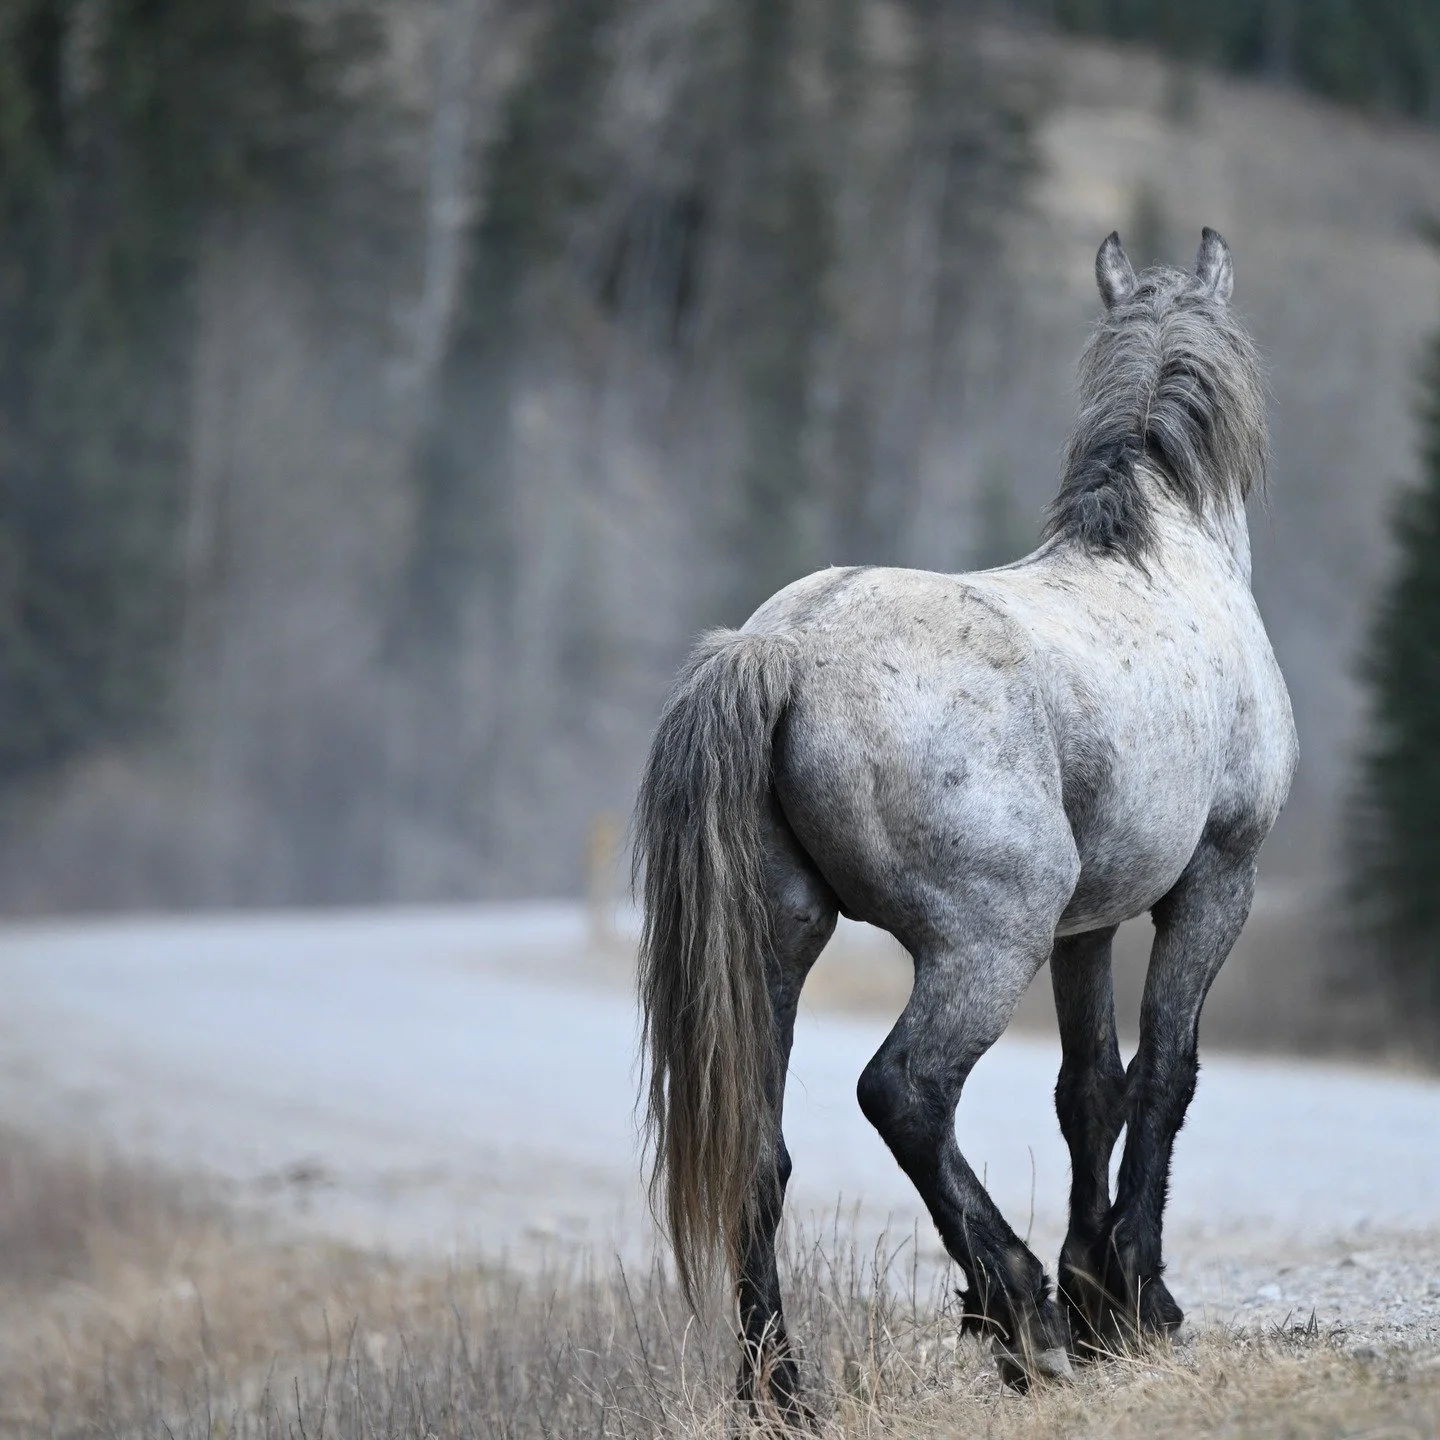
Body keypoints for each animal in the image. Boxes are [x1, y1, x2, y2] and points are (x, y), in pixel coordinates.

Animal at [634, 228, 1296, 1419]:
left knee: (761, 1149)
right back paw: (1019, 1314)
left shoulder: (1090, 923)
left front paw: (1101, 1294)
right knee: (905, 1092)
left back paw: (783, 1390)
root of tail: (783, 648)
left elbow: (1091, 1088)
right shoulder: (1217, 882)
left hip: (783, 943)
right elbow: (1166, 1074)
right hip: (987, 943)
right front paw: (1135, 1300)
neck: (1164, 562)